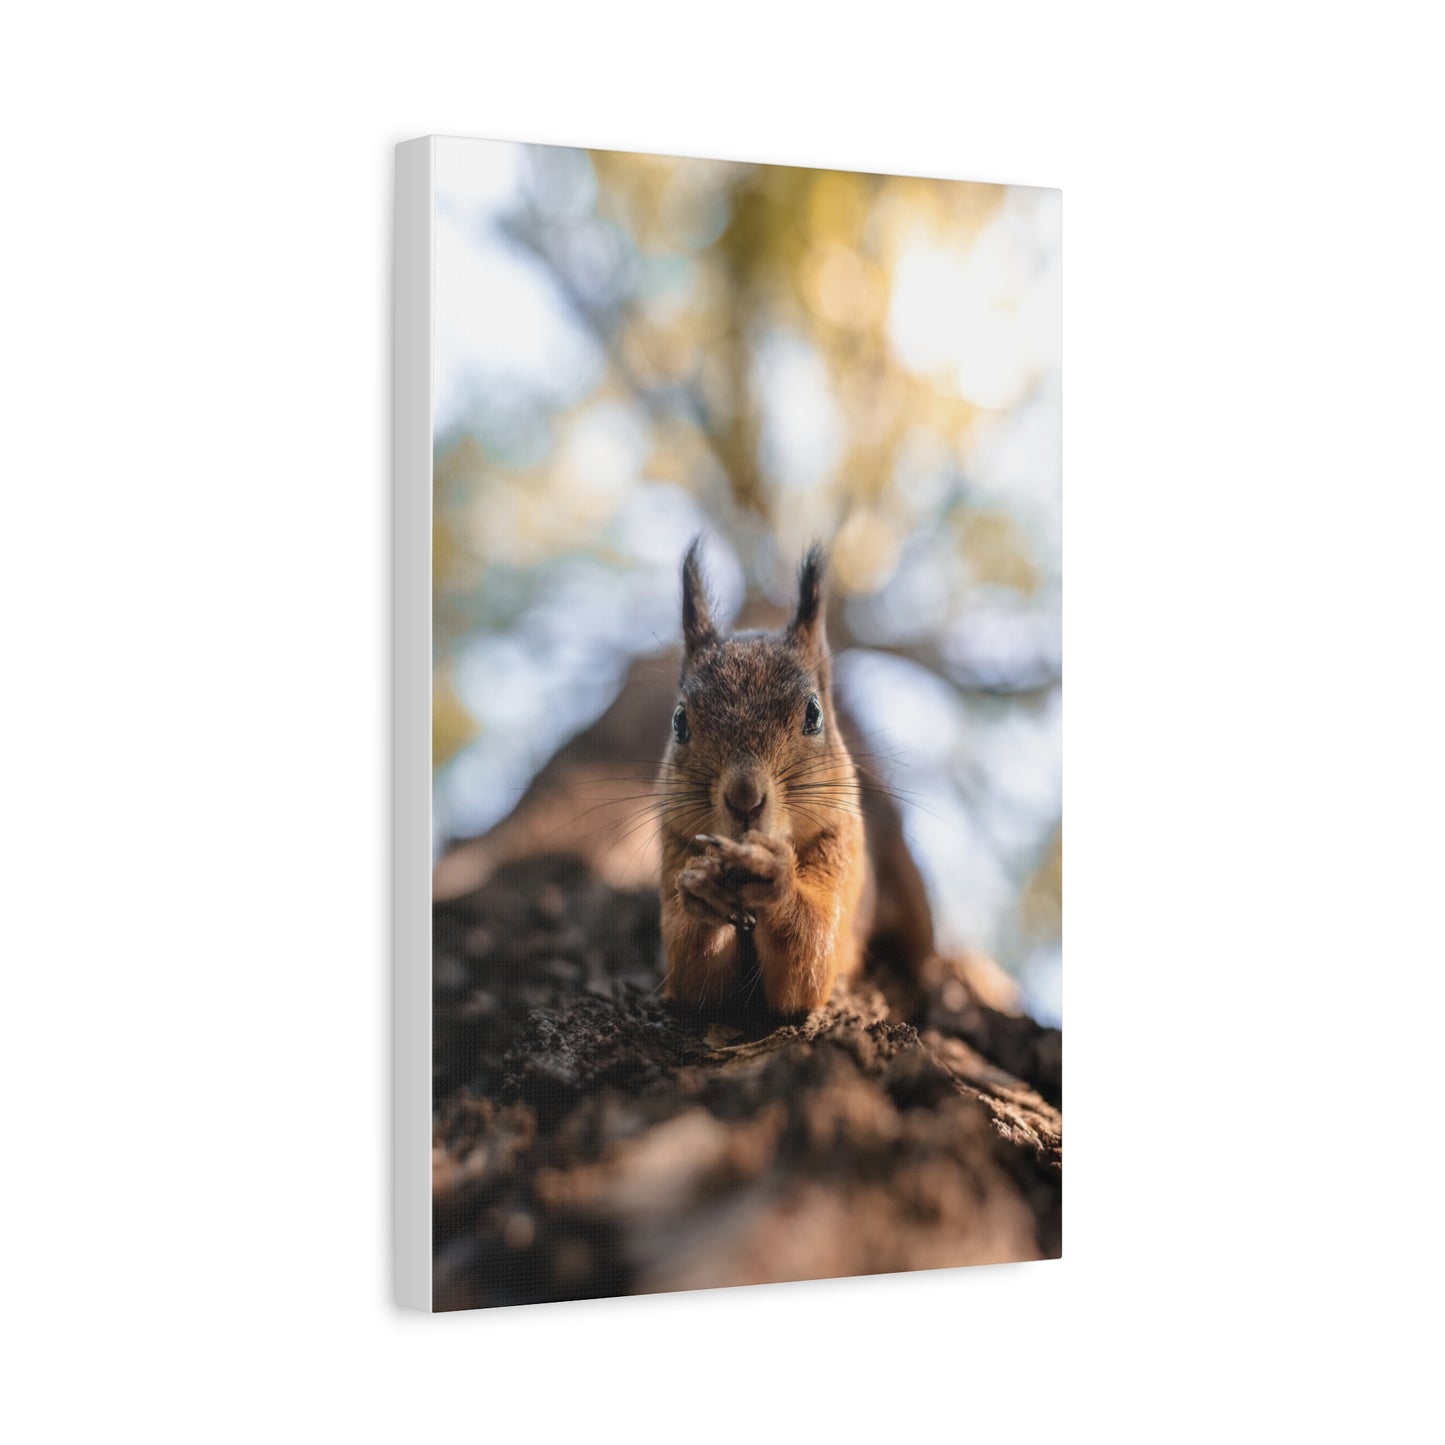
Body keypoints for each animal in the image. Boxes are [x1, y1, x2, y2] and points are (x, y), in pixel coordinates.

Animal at [659, 540, 876, 1018]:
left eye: (814, 713)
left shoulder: (842, 847)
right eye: (679, 721)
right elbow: (694, 976)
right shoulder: (672, 847)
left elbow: (808, 964)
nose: (744, 797)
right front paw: (703, 888)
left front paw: (775, 875)